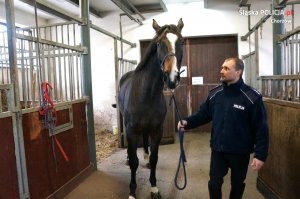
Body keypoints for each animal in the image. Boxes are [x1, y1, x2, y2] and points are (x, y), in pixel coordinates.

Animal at [118, 19, 184, 199]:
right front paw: (132, 192)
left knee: (145, 141)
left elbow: (155, 158)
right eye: (159, 43)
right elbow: (134, 162)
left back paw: (146, 158)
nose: (172, 78)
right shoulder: (132, 129)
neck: (146, 93)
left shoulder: (156, 130)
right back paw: (128, 158)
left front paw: (154, 188)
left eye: (181, 42)